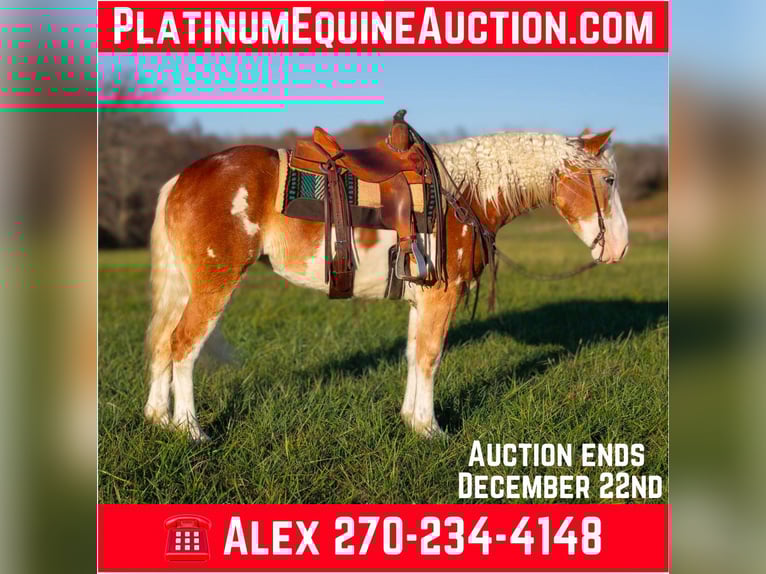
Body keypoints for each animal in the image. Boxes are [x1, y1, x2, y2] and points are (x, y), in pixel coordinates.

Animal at [143, 128, 629, 441]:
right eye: (608, 179)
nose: (621, 248)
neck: (462, 193)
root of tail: (181, 178)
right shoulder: (441, 297)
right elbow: (431, 357)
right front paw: (431, 431)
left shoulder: (422, 299)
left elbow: (414, 355)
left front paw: (411, 421)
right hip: (214, 285)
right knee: (184, 345)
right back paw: (190, 429)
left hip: (186, 287)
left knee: (164, 342)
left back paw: (157, 418)